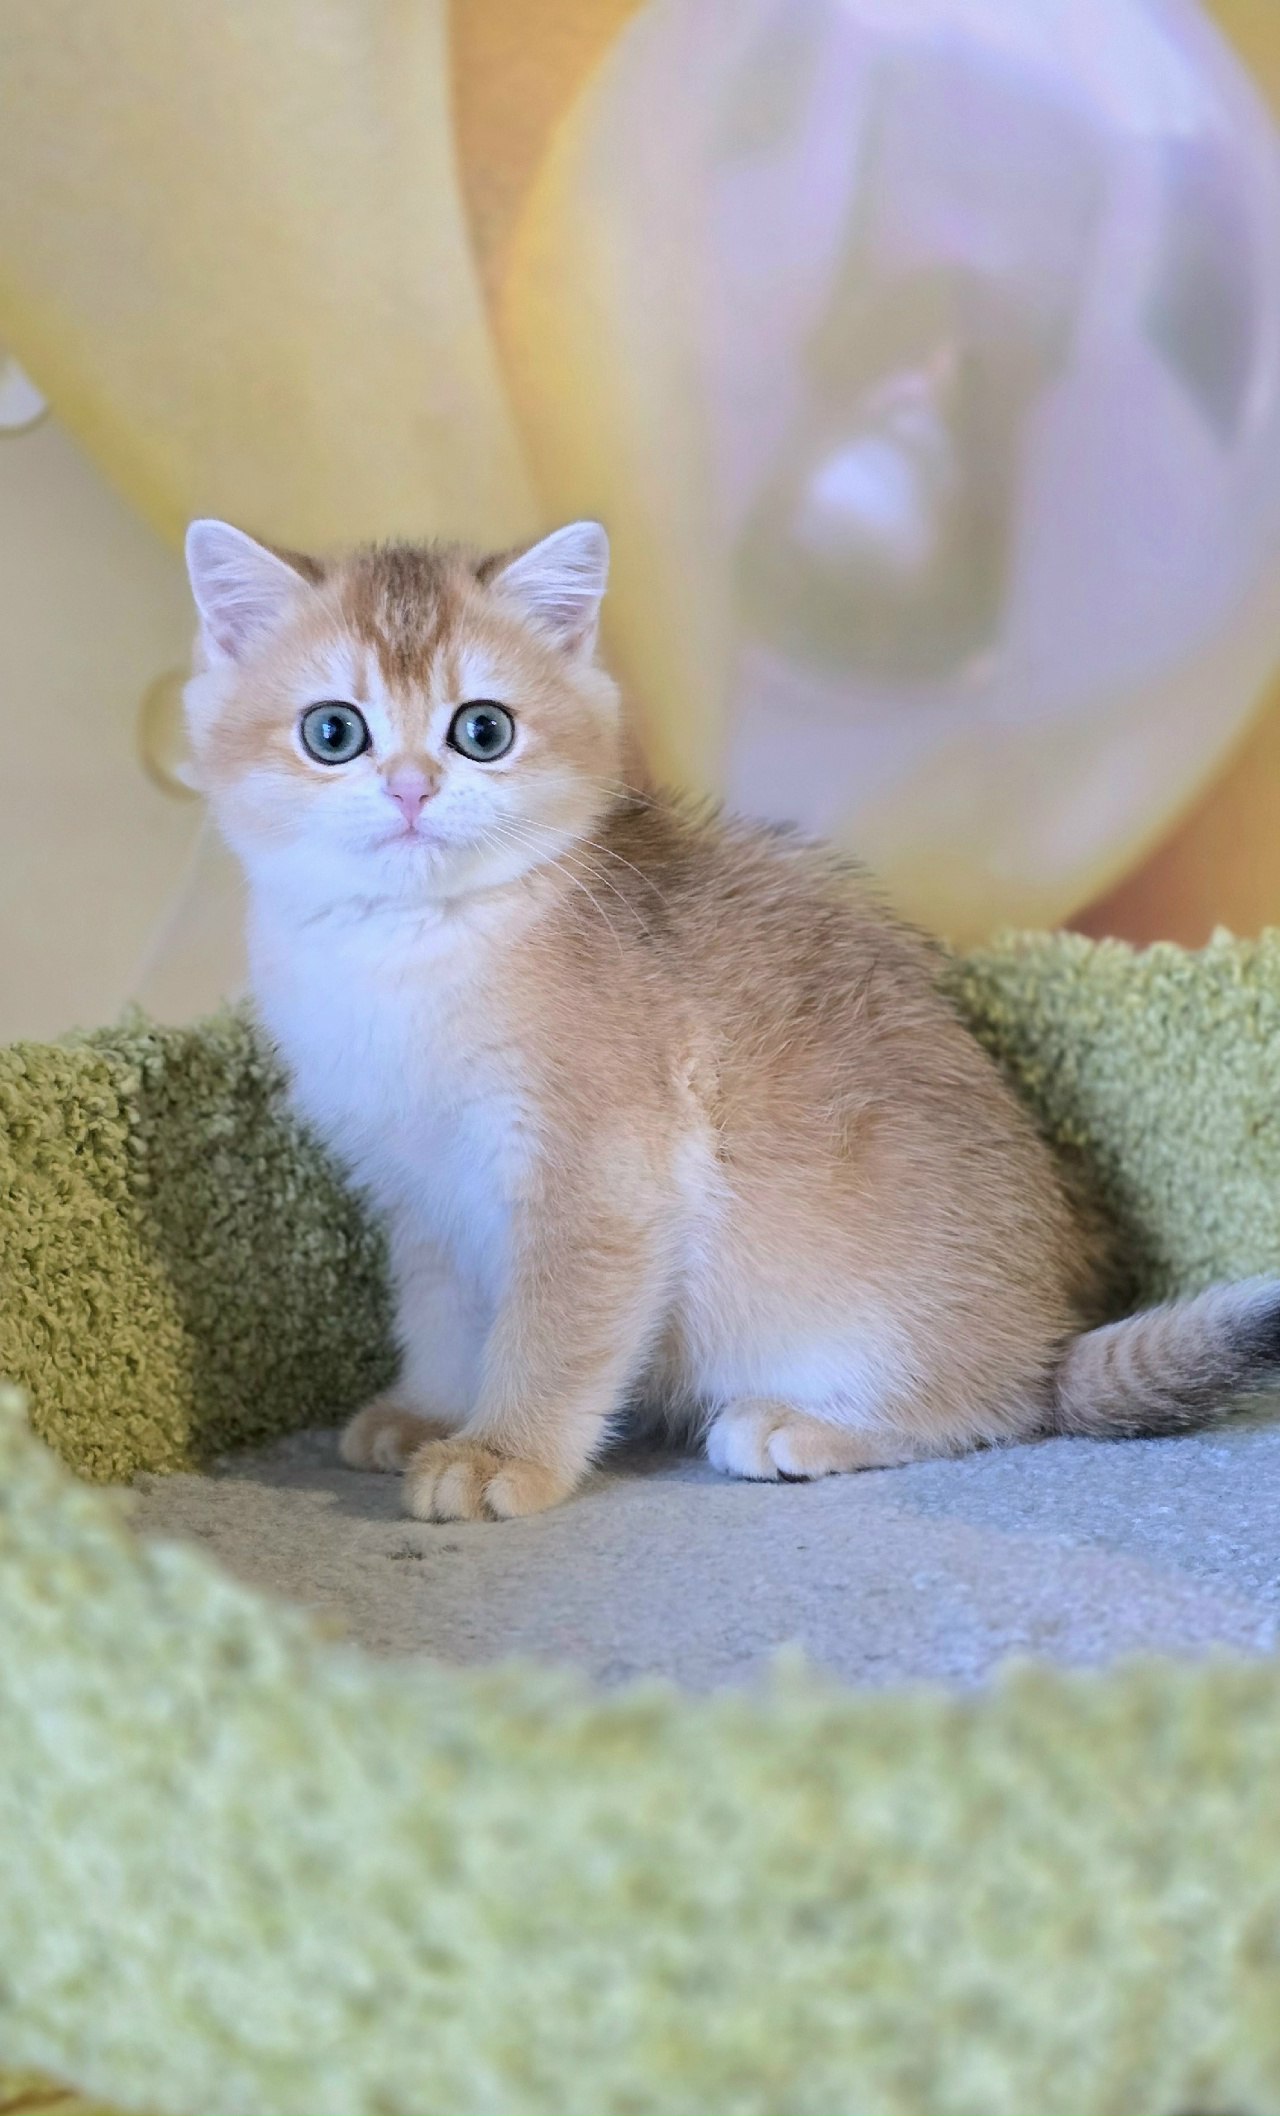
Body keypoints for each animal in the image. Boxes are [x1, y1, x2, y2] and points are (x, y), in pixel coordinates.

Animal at [183, 515, 1280, 1520]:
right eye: (333, 732)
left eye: (481, 730)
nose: (411, 789)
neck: (413, 949)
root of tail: (1048, 1333)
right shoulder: (423, 1193)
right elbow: (443, 1318)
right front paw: (428, 1412)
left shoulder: (599, 1177)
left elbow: (549, 1333)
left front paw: (502, 1455)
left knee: (1004, 1411)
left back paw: (810, 1424)